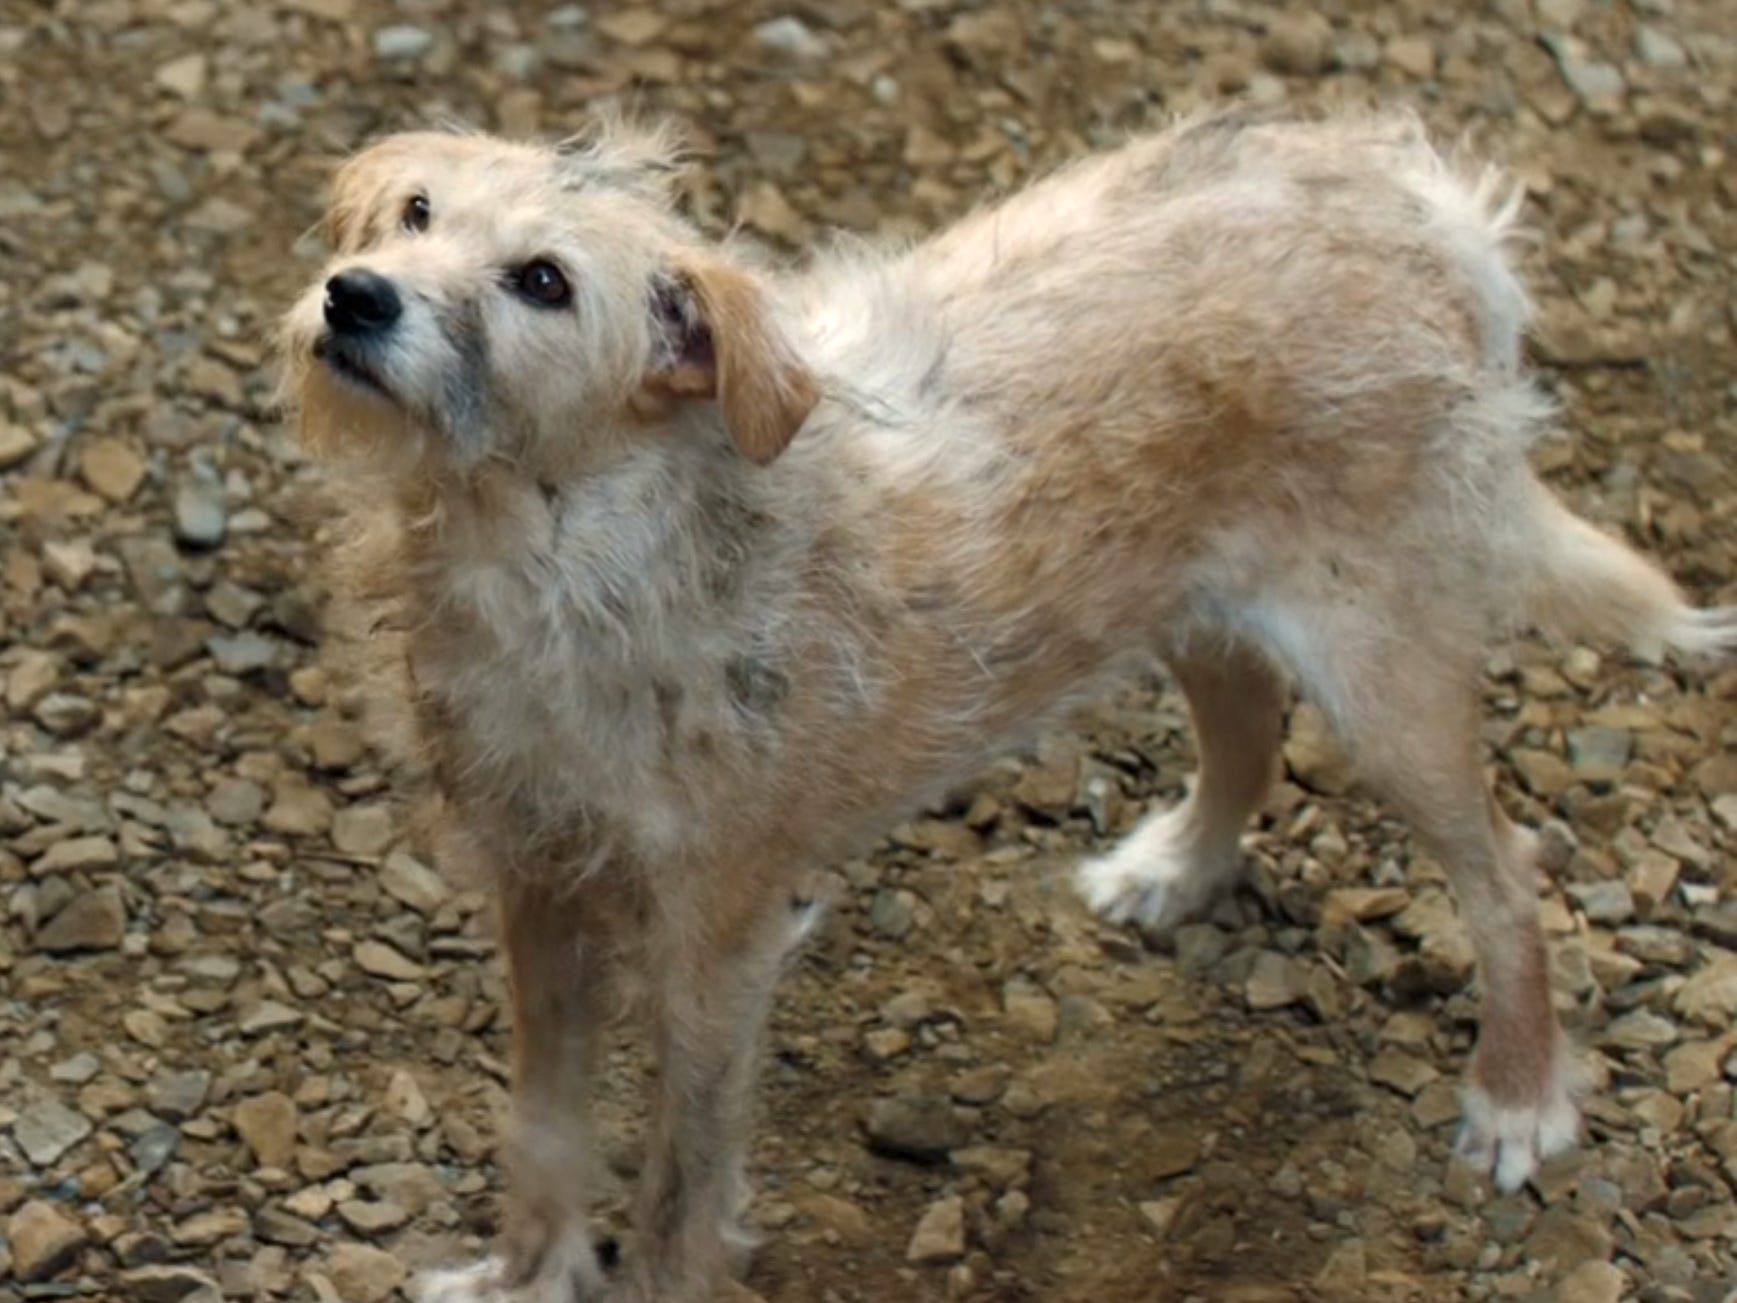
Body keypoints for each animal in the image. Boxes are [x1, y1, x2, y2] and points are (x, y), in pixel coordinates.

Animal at [277, 107, 1730, 1299]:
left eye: (543, 281)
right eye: (417, 214)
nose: (355, 295)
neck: (562, 543)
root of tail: (1426, 210)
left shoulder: (715, 937)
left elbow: (682, 1186)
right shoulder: (538, 882)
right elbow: (544, 1121)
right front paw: (527, 1273)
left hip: (1388, 674)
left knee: (1507, 870)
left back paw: (1518, 1093)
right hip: (1182, 603)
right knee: (1248, 724)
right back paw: (1179, 868)